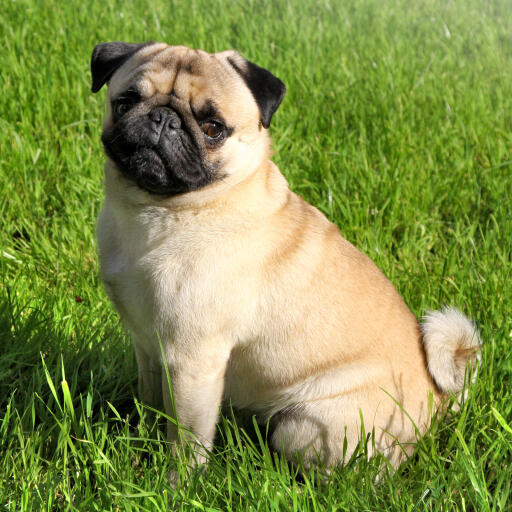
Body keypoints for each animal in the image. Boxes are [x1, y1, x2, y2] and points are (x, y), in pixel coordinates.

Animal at [91, 42, 480, 474]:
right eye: (125, 103)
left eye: (213, 127)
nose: (162, 118)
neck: (158, 212)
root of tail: (435, 402)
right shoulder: (147, 344)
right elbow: (151, 401)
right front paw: (140, 436)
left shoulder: (193, 361)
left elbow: (187, 438)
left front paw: (176, 480)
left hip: (303, 427)